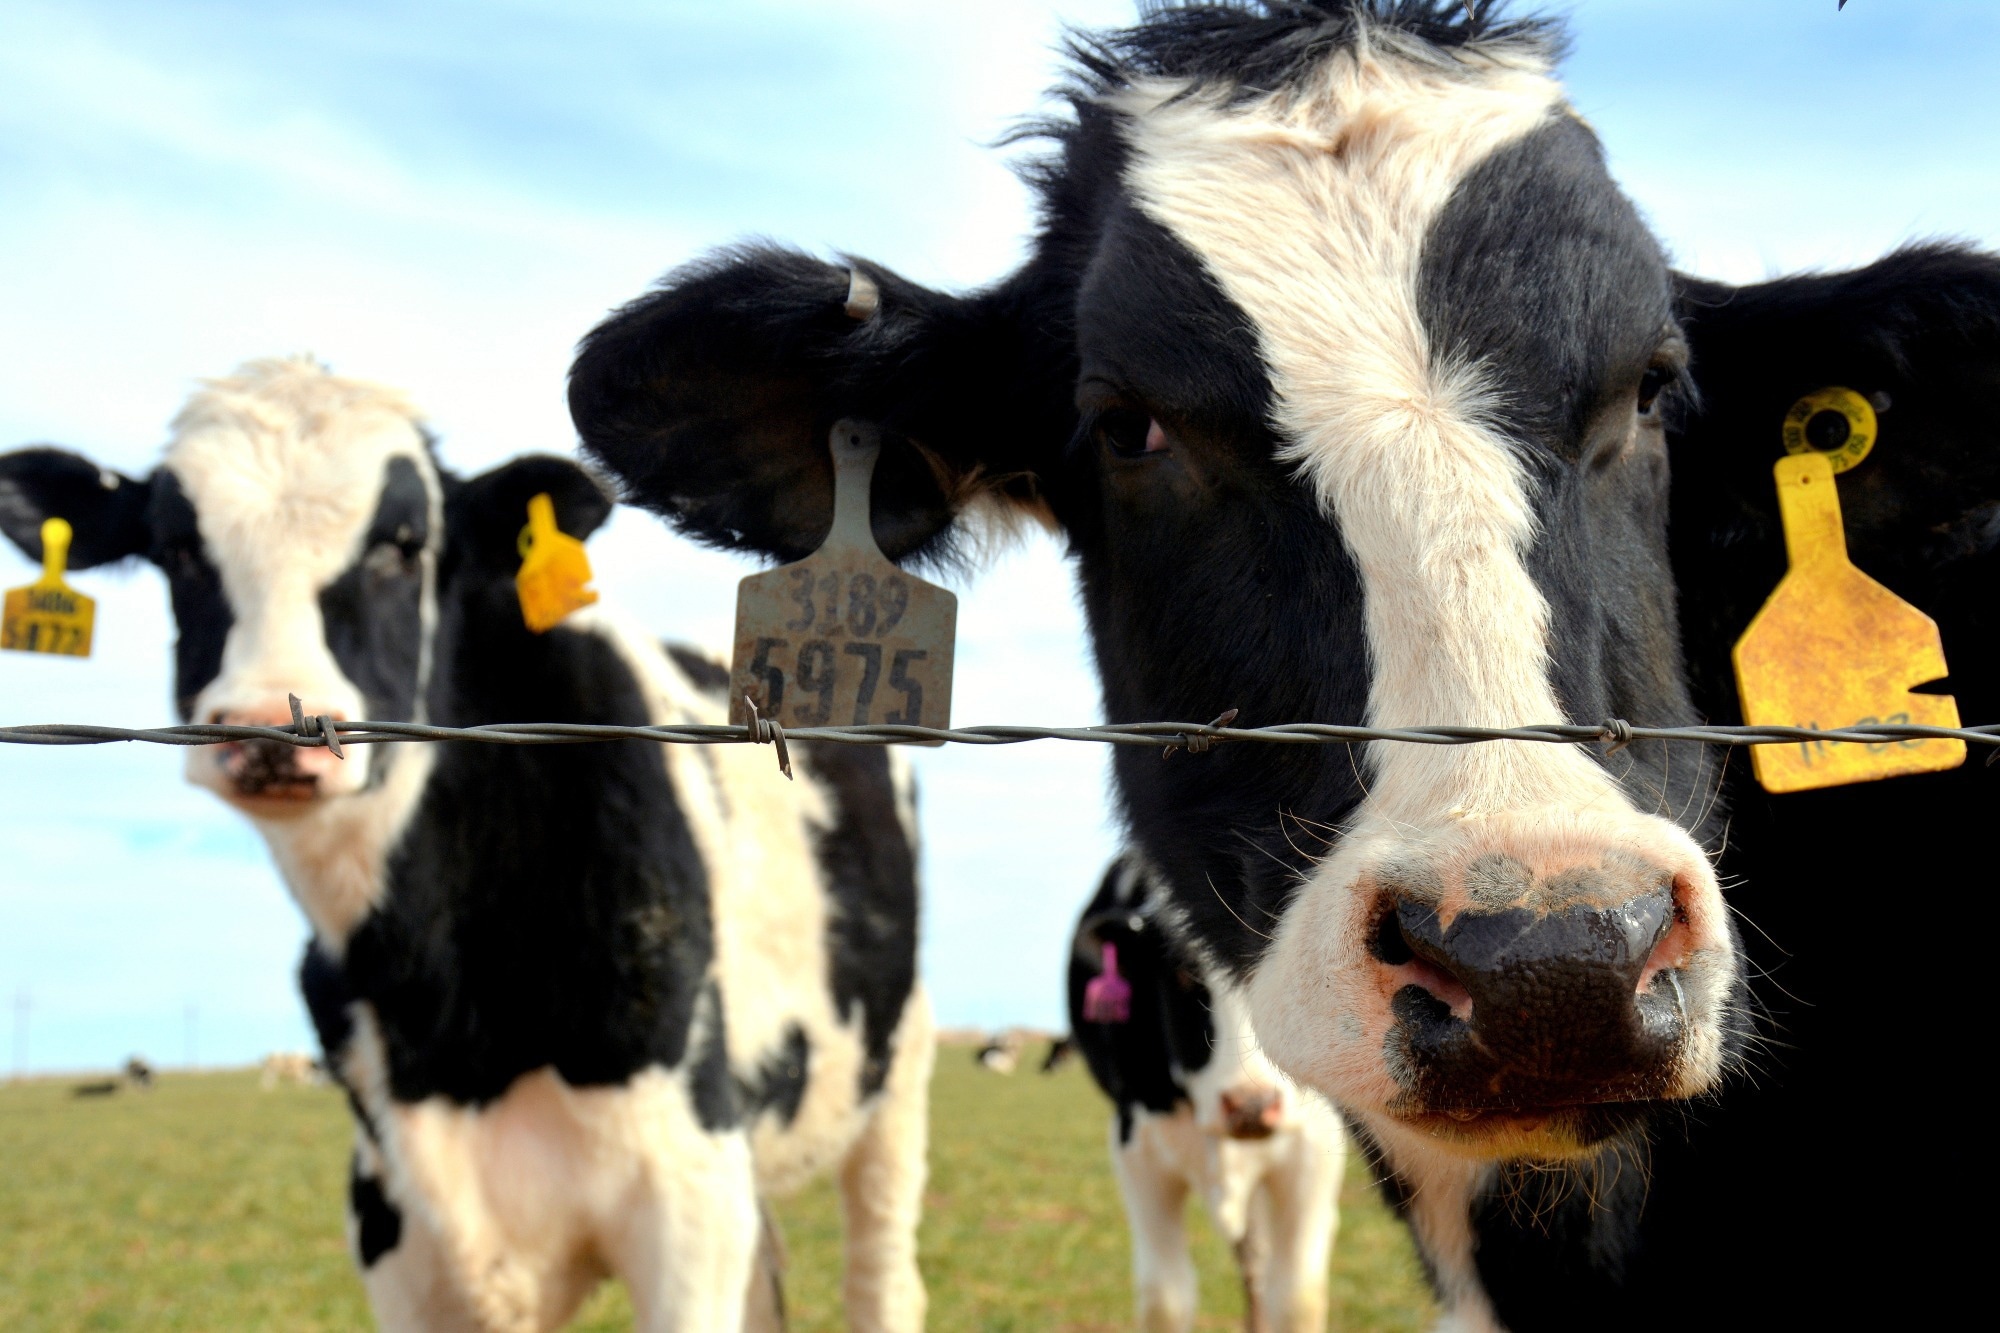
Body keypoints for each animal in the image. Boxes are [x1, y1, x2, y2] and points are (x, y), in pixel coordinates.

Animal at [0, 357, 932, 1333]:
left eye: (404, 544)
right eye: (179, 548)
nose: (263, 728)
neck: (443, 1003)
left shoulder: (688, 1196)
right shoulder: (394, 1223)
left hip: (895, 1068)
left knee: (883, 1273)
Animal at [1070, 854, 1345, 1333]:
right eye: (1183, 975)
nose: (1252, 1107)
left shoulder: (1316, 1144)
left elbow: (1297, 1299)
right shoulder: (1135, 1148)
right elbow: (1166, 1299)